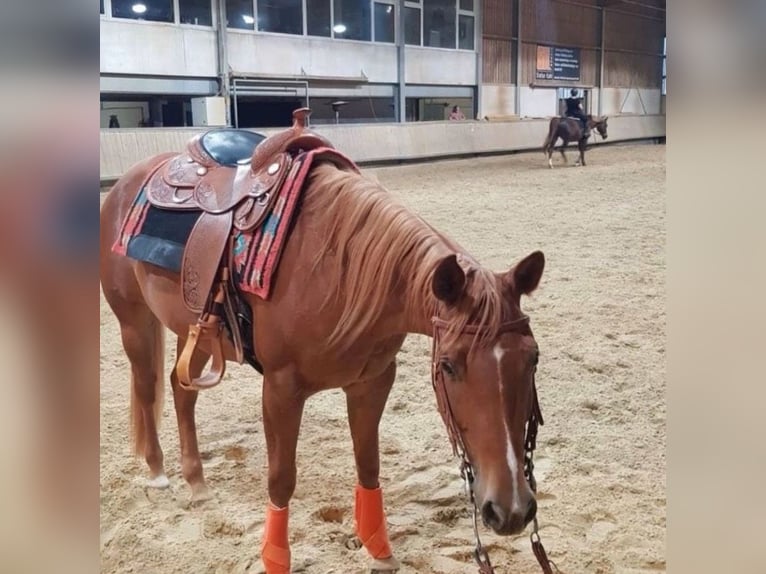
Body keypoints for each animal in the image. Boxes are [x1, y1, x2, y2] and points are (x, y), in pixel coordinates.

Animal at [99, 128, 548, 572]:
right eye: (449, 366)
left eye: (532, 359)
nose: (510, 510)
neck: (338, 271)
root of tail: (127, 182)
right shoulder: (281, 388)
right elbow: (281, 478)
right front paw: (275, 558)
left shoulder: (373, 381)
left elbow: (368, 463)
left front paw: (378, 547)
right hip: (135, 323)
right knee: (147, 388)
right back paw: (158, 472)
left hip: (196, 331)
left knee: (181, 390)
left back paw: (196, 481)